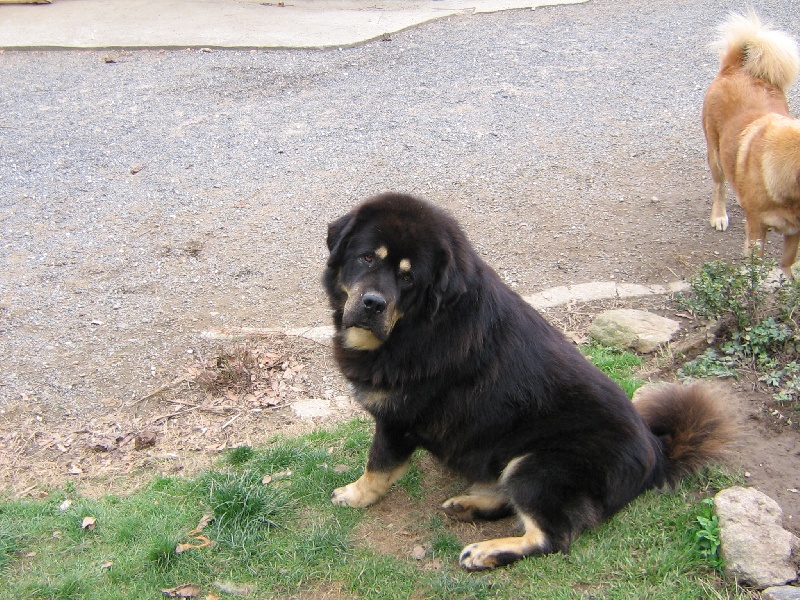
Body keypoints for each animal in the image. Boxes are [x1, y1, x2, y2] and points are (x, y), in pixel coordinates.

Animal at [324, 193, 732, 572]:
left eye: (408, 278)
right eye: (367, 258)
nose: (373, 303)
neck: (421, 324)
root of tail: (654, 453)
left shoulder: (398, 422)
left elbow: (378, 466)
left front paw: (355, 495)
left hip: (537, 465)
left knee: (551, 537)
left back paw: (485, 551)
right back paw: (469, 504)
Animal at [704, 11, 800, 278]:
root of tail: (735, 67)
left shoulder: (795, 232)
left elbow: (788, 263)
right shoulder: (757, 227)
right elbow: (755, 267)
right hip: (714, 154)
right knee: (720, 185)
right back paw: (719, 215)